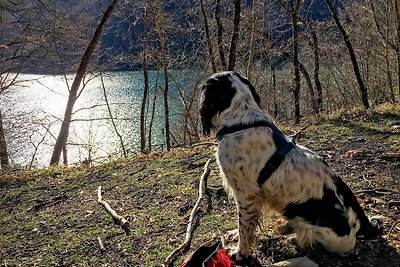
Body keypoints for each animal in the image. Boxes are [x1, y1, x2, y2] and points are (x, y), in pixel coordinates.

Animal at [199, 71, 382, 262]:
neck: (241, 123)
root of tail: (362, 224)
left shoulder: (246, 193)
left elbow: (245, 227)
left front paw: (240, 253)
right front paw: (235, 235)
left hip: (316, 228)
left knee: (307, 235)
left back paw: (293, 236)